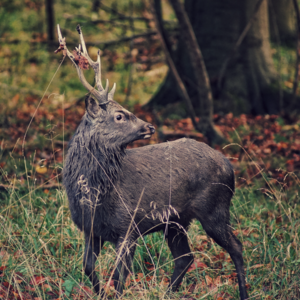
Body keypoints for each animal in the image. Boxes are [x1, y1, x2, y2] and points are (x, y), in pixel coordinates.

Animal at [56, 24, 248, 300]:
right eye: (119, 115)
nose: (150, 126)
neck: (94, 195)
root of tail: (229, 165)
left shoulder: (128, 226)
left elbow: (118, 278)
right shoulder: (91, 230)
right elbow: (89, 268)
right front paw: (99, 293)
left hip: (215, 208)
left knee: (236, 247)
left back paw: (243, 292)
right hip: (176, 220)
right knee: (185, 257)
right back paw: (169, 292)